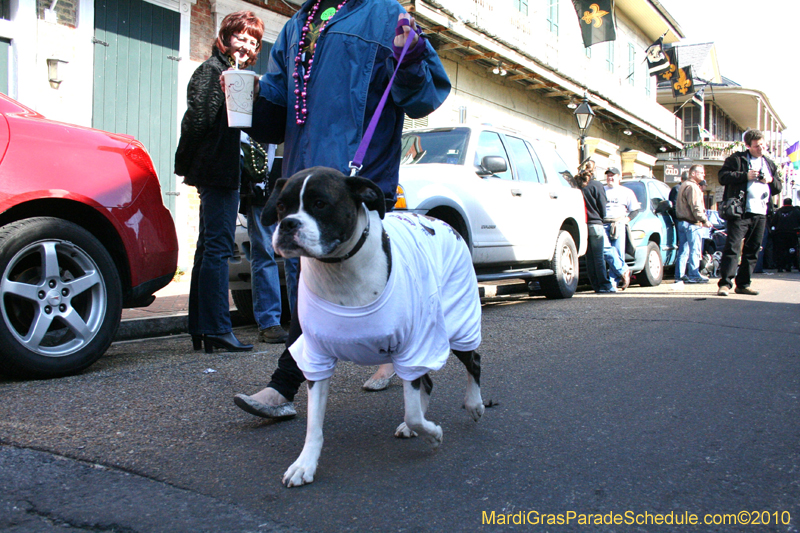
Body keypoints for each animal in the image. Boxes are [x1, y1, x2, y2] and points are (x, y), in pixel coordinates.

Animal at [266, 166, 484, 486]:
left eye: (320, 203)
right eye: (281, 206)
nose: (288, 224)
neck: (338, 269)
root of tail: (441, 221)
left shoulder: (412, 347)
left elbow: (413, 412)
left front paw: (433, 434)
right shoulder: (317, 359)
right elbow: (314, 424)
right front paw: (304, 464)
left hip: (458, 322)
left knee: (473, 362)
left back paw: (474, 404)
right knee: (426, 383)